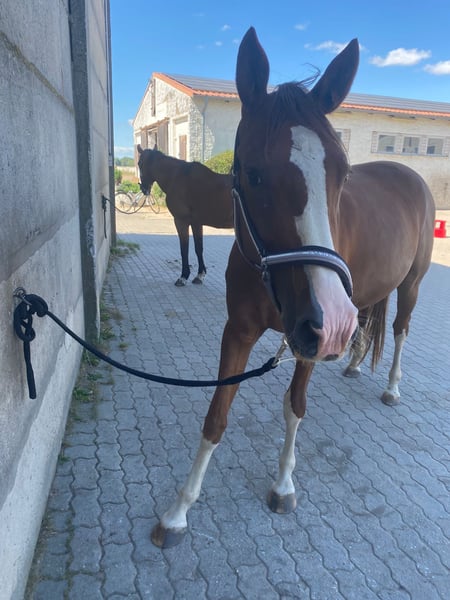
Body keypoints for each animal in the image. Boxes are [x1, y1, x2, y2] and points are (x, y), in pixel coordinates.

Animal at [137, 145, 233, 286]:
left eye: (139, 163)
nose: (144, 189)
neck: (176, 177)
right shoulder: (196, 223)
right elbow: (198, 248)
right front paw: (199, 275)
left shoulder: (180, 221)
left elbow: (184, 249)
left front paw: (183, 276)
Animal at [150, 27, 435, 548]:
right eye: (253, 173)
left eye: (342, 173)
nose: (331, 323)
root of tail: (409, 174)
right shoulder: (241, 332)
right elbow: (216, 416)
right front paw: (178, 512)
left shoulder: (310, 339)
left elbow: (294, 406)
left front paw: (283, 484)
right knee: (369, 323)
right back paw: (355, 365)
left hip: (409, 285)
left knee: (400, 329)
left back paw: (392, 387)